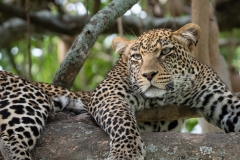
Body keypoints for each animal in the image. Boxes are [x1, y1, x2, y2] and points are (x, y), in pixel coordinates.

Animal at [88, 23, 240, 159]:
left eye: (165, 52)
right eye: (137, 56)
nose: (148, 74)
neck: (165, 97)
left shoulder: (221, 99)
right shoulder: (108, 94)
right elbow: (121, 121)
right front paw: (125, 153)